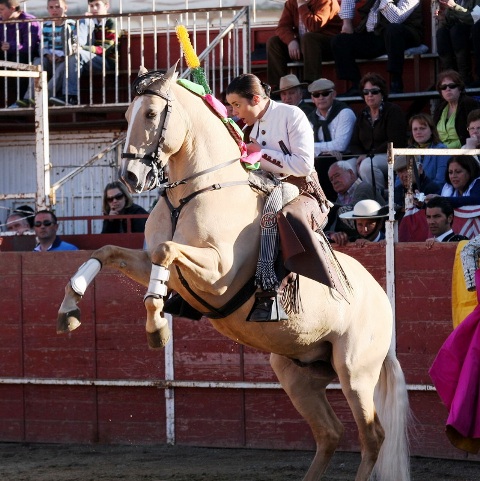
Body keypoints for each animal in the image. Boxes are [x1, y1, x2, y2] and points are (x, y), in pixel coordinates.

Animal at [56, 66, 408, 480]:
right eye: (126, 116)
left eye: (151, 114)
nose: (130, 177)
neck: (194, 192)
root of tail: (382, 299)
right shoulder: (154, 264)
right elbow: (108, 251)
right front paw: (70, 308)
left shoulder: (218, 274)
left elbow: (165, 250)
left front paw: (156, 326)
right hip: (295, 372)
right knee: (330, 433)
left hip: (355, 371)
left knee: (372, 437)